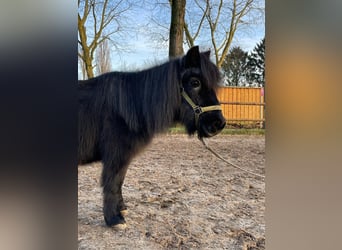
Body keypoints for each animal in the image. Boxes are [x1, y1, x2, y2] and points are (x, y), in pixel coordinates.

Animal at [79, 46, 226, 228]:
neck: (129, 106)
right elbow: (112, 183)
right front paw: (114, 219)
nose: (219, 123)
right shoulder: (115, 157)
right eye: (195, 83)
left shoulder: (123, 159)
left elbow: (119, 181)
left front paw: (121, 209)